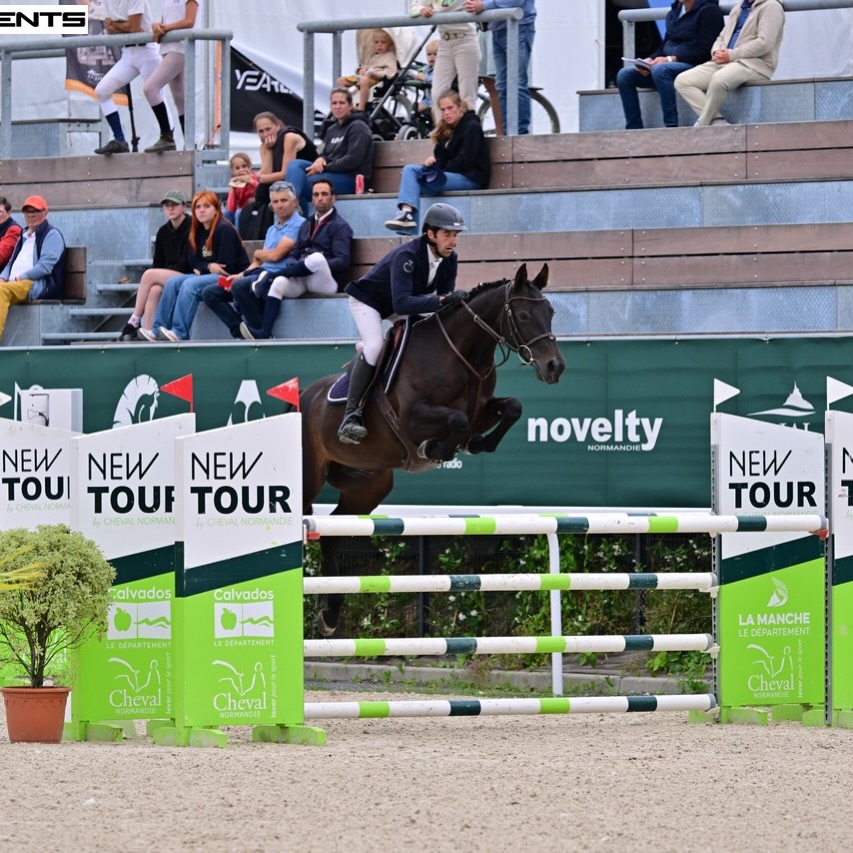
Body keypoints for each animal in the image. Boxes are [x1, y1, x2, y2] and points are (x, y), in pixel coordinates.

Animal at [301, 263, 566, 635]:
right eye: (525, 314)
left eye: (551, 312)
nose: (554, 367)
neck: (464, 354)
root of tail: (302, 398)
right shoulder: (412, 417)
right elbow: (456, 420)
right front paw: (435, 449)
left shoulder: (482, 409)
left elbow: (511, 408)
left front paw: (476, 443)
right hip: (308, 477)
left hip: (368, 486)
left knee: (332, 535)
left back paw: (330, 615)